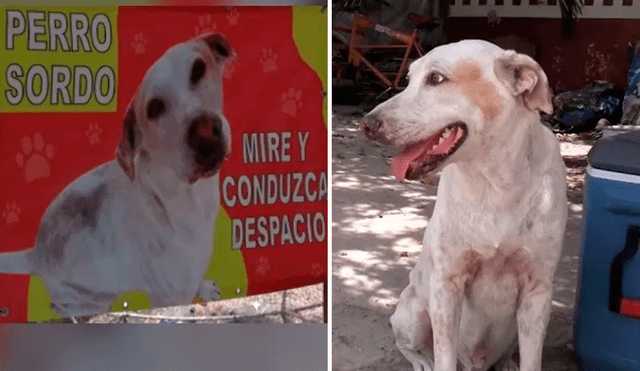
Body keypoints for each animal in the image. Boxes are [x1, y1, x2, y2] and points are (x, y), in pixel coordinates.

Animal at [0, 33, 235, 318]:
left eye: (198, 68)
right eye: (154, 109)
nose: (205, 134)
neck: (186, 195)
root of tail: (36, 254)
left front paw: (206, 289)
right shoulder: (170, 297)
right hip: (88, 298)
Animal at [362, 40, 568, 371]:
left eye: (436, 78)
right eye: (409, 79)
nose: (367, 124)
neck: (495, 184)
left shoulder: (537, 292)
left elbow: (531, 360)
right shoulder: (447, 286)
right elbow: (443, 357)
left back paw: (506, 363)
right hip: (415, 312)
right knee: (406, 341)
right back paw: (422, 361)